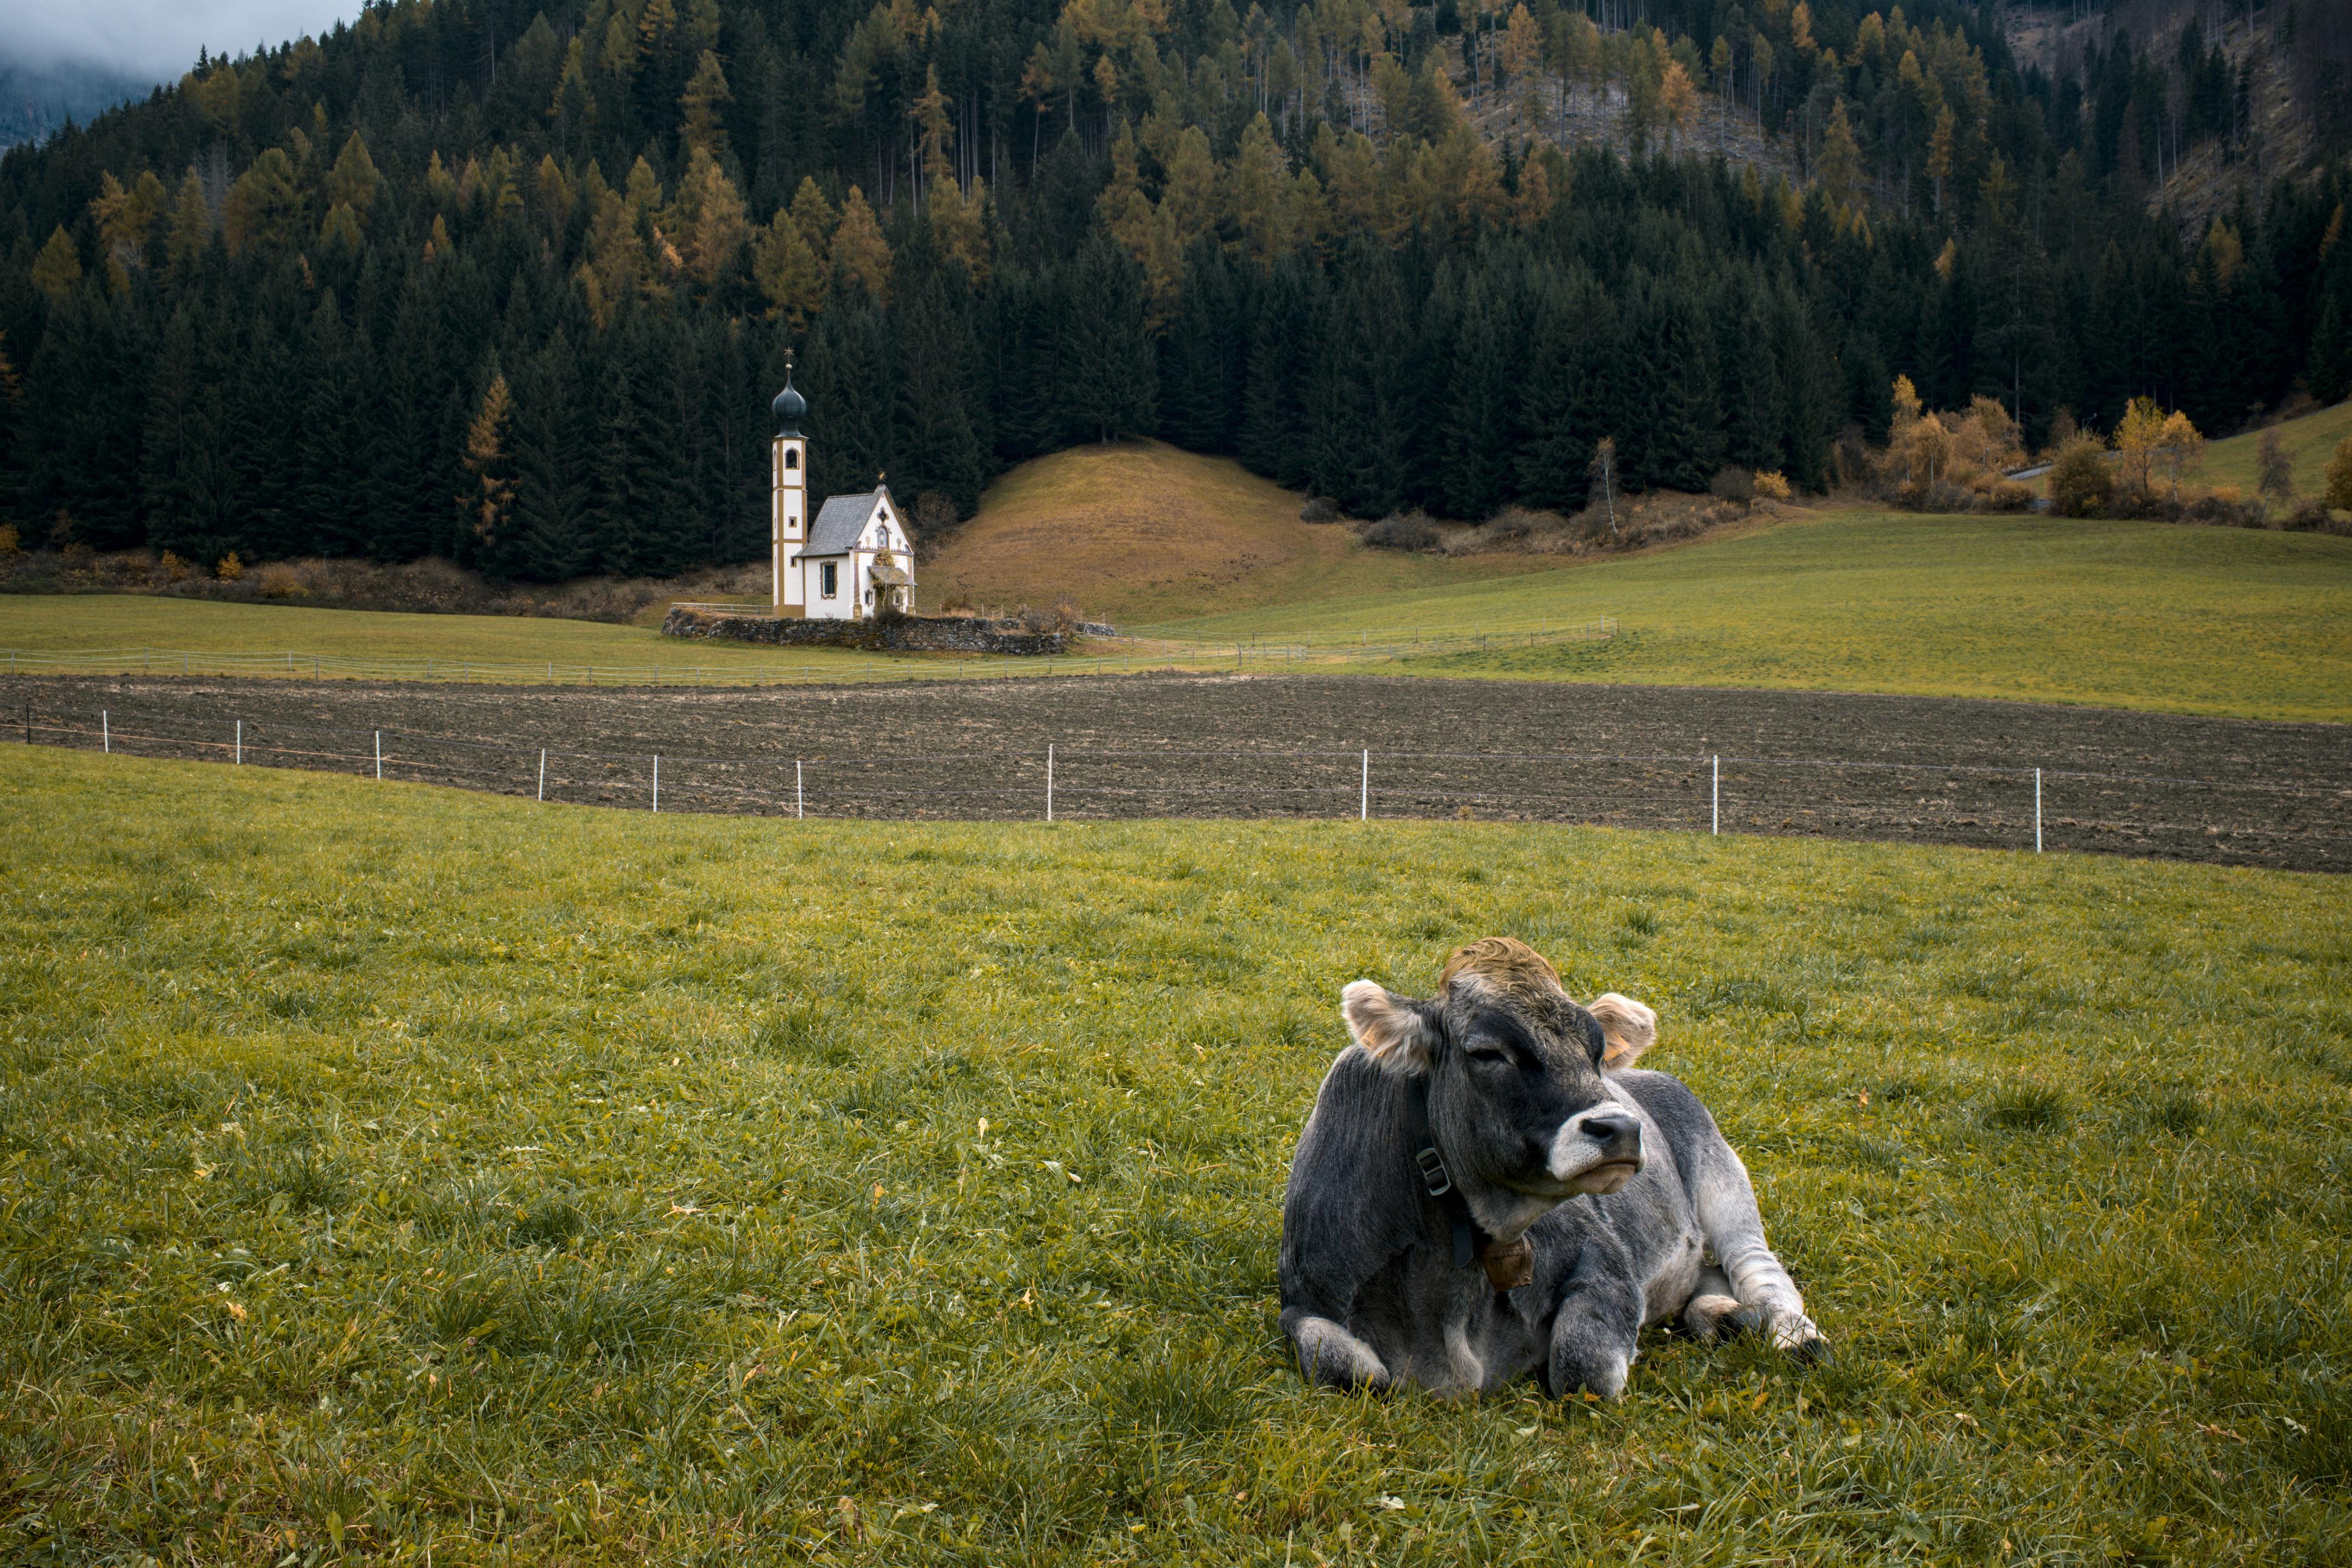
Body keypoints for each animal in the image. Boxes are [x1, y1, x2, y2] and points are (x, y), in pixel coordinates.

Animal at [1278, 936, 1823, 1398]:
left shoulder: (1608, 1263)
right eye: (1487, 1052)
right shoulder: (1303, 1300)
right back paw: (1724, 1314)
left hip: (1725, 1180)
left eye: (1598, 1051)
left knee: (1759, 1269)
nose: (1621, 1128)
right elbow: (1351, 1370)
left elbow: (1583, 1371)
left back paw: (1795, 1337)